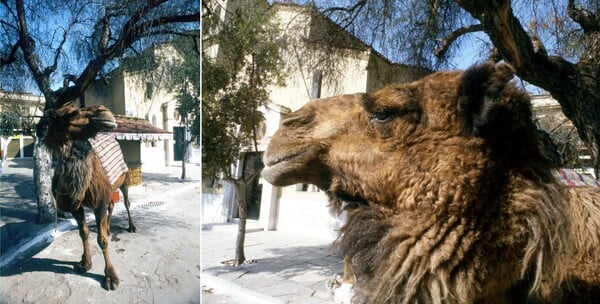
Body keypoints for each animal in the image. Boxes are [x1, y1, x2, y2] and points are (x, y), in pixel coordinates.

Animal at [38, 104, 135, 290]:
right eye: (71, 113)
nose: (105, 113)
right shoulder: (76, 207)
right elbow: (83, 233)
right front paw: (85, 263)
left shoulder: (98, 203)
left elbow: (102, 240)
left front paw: (110, 277)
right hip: (109, 189)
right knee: (112, 205)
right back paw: (108, 228)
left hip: (124, 179)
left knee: (126, 202)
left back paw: (132, 226)